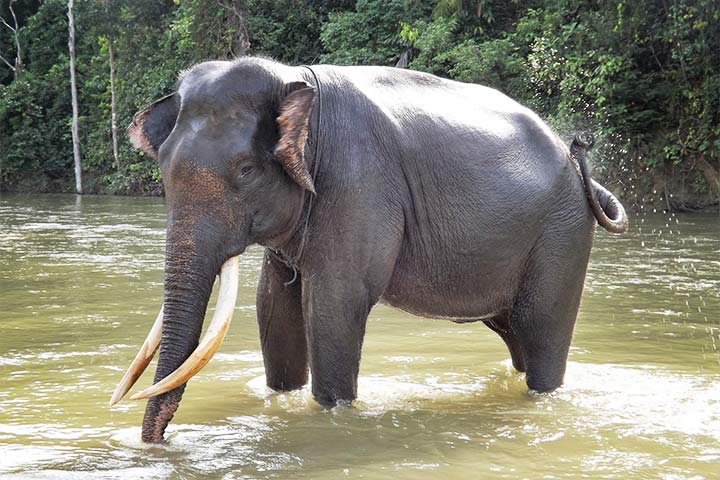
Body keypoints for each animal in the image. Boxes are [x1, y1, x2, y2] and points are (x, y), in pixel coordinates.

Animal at [110, 57, 628, 443]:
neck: (296, 82)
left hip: (562, 237)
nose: (159, 443)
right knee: (517, 338)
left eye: (246, 171)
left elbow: (334, 307)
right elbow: (274, 308)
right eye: (162, 169)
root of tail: (578, 164)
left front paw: (333, 413)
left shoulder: (357, 185)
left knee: (542, 338)